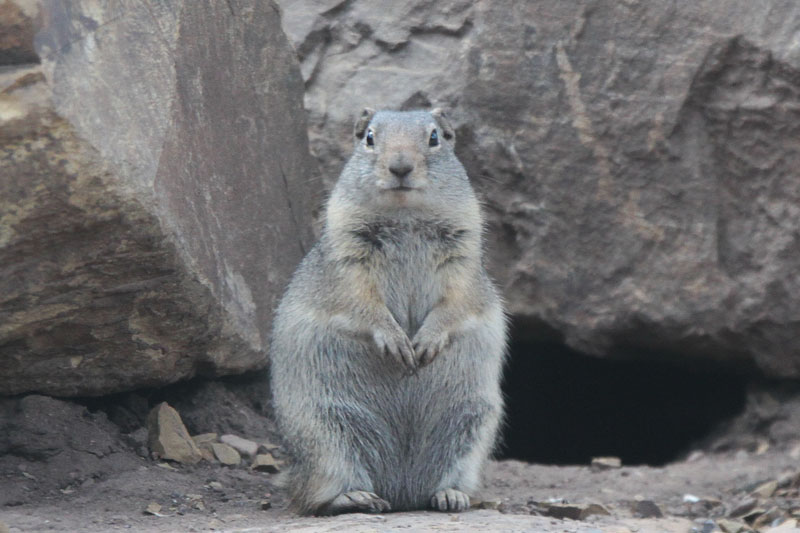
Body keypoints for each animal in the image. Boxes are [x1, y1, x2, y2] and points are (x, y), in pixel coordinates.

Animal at [268, 109, 506, 516]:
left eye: (435, 137)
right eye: (368, 137)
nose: (400, 166)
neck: (405, 216)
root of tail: (401, 493)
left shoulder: (464, 263)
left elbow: (456, 302)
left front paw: (425, 342)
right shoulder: (347, 262)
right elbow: (362, 302)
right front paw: (396, 341)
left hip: (472, 425)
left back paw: (450, 496)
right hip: (325, 433)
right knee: (314, 497)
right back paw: (356, 498)